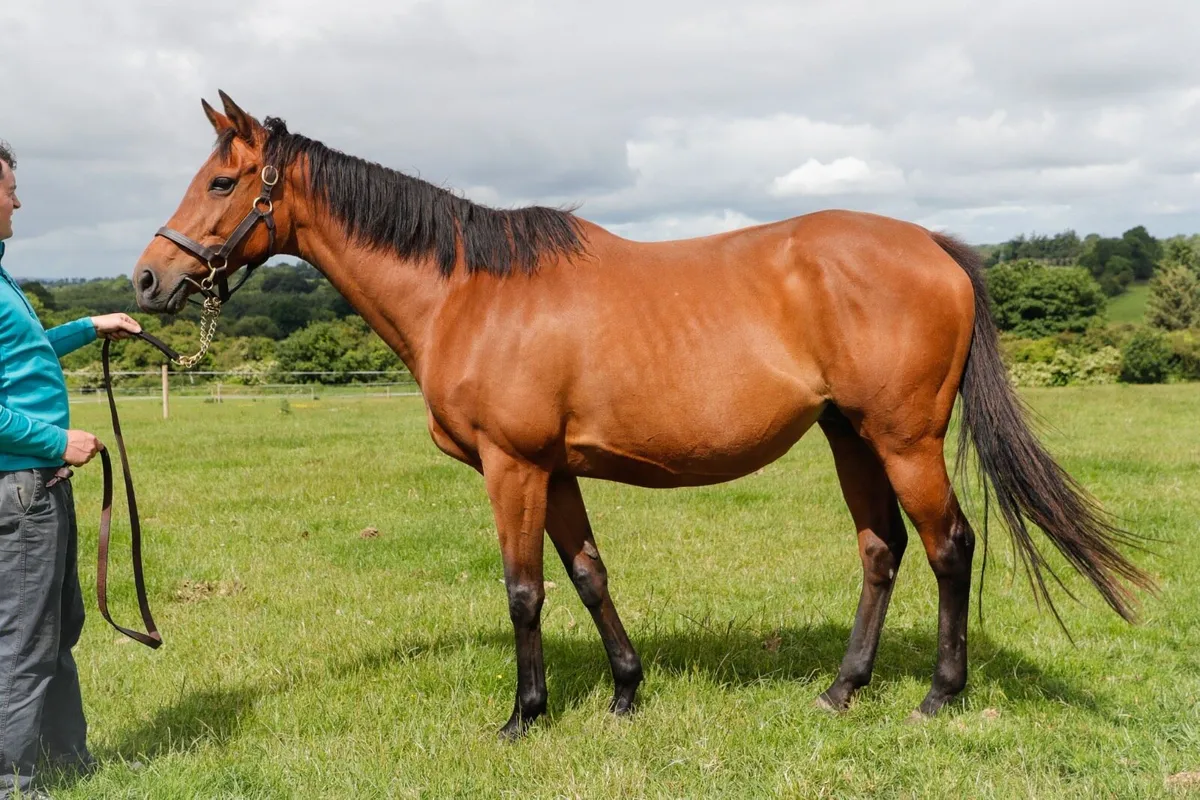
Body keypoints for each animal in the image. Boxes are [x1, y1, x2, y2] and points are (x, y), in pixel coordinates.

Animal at [133, 92, 1153, 738]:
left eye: (222, 183)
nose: (149, 278)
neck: (468, 291)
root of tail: (933, 247)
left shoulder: (512, 466)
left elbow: (524, 591)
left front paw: (523, 717)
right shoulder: (556, 469)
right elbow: (587, 576)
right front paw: (625, 695)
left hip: (905, 440)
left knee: (949, 548)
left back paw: (940, 696)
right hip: (850, 436)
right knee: (882, 550)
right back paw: (840, 690)